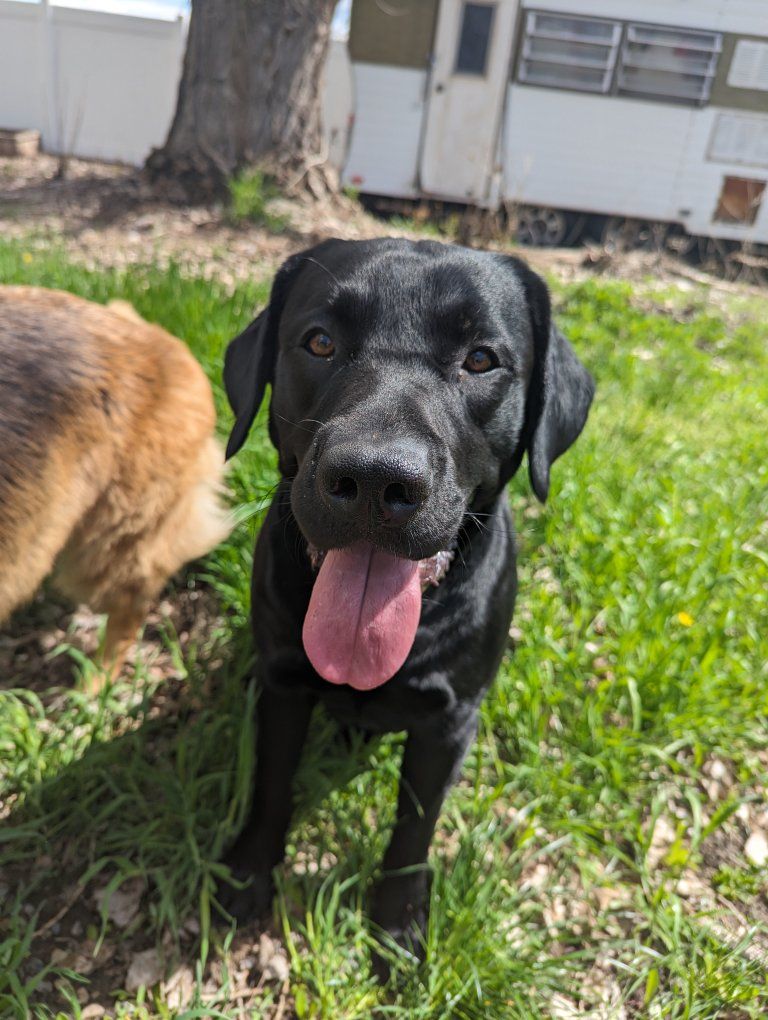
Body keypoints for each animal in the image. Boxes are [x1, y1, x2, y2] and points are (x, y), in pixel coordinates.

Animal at [219, 238, 594, 968]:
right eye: (320, 341)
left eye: (481, 358)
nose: (372, 478)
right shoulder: (283, 688)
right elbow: (271, 782)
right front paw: (249, 874)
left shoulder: (446, 723)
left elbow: (414, 829)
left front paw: (396, 926)